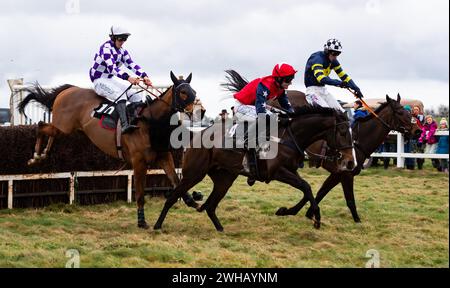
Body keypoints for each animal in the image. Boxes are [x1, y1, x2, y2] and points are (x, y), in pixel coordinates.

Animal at [18, 71, 200, 228]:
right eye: (183, 92)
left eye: (194, 91)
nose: (198, 112)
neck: (149, 122)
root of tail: (68, 90)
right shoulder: (139, 162)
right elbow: (140, 194)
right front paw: (141, 221)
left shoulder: (164, 156)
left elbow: (176, 181)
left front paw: (192, 201)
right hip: (64, 126)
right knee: (40, 126)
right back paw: (35, 157)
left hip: (63, 128)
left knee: (48, 130)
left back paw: (43, 154)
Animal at [153, 70, 356, 232]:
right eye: (343, 132)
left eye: (351, 131)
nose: (350, 162)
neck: (289, 136)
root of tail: (196, 136)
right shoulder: (277, 172)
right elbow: (305, 186)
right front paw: (315, 217)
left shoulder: (291, 170)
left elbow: (307, 189)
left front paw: (289, 211)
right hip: (194, 174)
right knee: (173, 197)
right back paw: (157, 225)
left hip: (224, 178)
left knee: (210, 206)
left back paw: (220, 229)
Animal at [268, 91, 424, 222]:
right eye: (400, 112)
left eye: (408, 111)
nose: (418, 131)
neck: (357, 141)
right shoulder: (346, 174)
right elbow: (349, 200)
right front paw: (357, 220)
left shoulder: (337, 174)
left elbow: (320, 192)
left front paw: (302, 212)